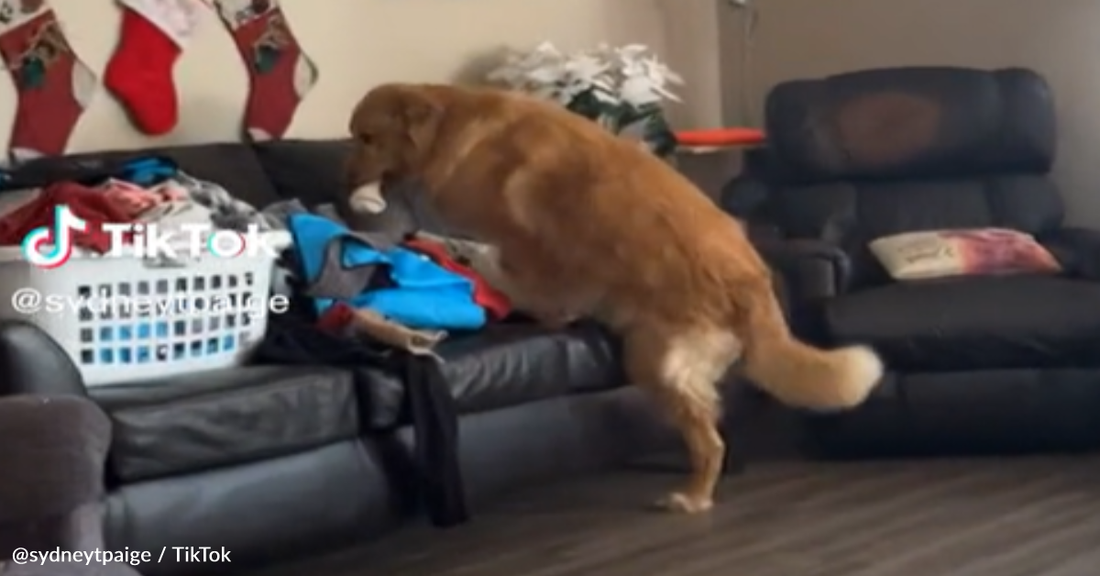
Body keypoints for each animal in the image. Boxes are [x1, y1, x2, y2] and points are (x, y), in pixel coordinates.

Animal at [345, 81, 884, 512]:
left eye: (366, 138)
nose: (347, 186)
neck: (454, 122)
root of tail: (751, 284)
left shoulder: (532, 248)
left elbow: (511, 271)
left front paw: (464, 255)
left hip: (652, 363)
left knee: (709, 441)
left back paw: (693, 498)